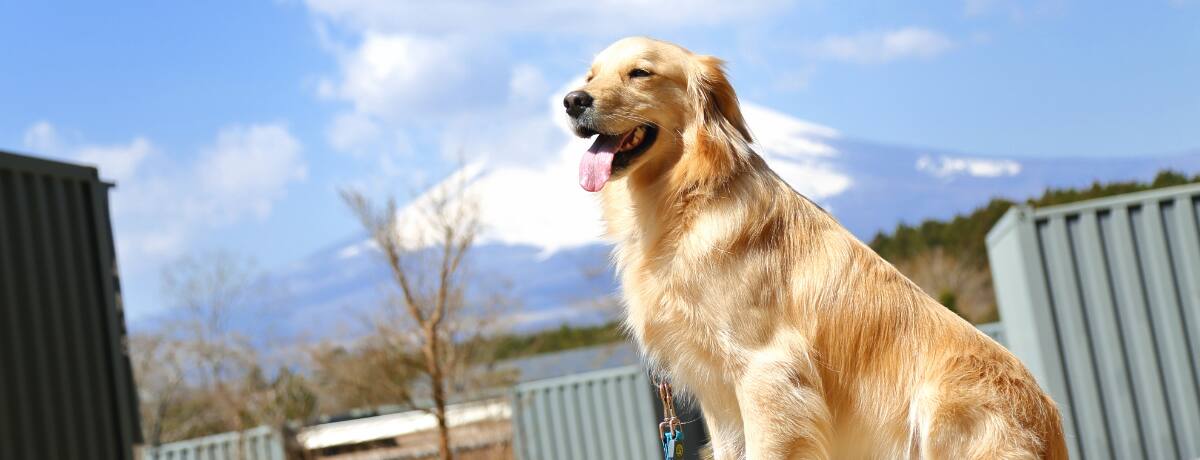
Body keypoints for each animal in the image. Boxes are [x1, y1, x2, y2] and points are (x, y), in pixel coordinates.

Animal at [565, 37, 1067, 459]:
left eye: (640, 73)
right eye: (590, 75)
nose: (572, 101)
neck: (688, 197)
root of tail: (1052, 425)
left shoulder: (768, 372)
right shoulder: (719, 392)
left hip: (941, 405)